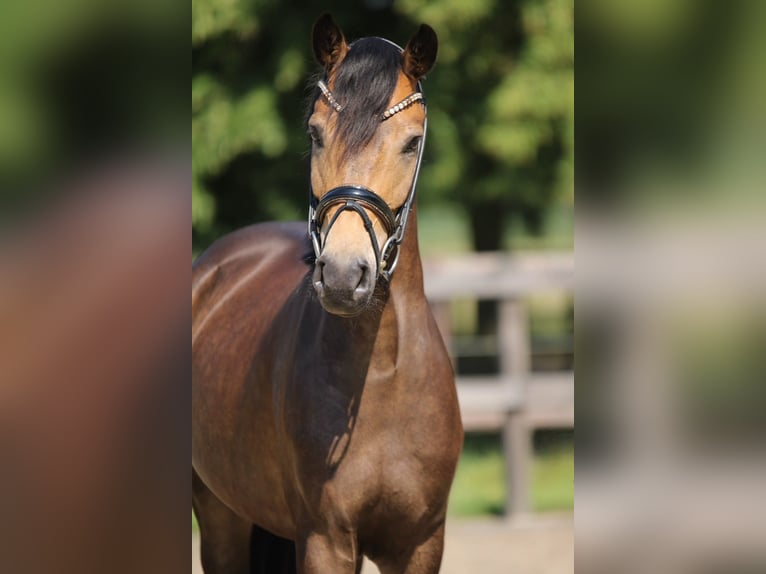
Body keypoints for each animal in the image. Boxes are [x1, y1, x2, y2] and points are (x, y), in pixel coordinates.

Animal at [192, 14, 463, 573]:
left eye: (412, 142)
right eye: (315, 133)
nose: (342, 274)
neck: (383, 373)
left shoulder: (422, 542)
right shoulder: (325, 539)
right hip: (218, 514)